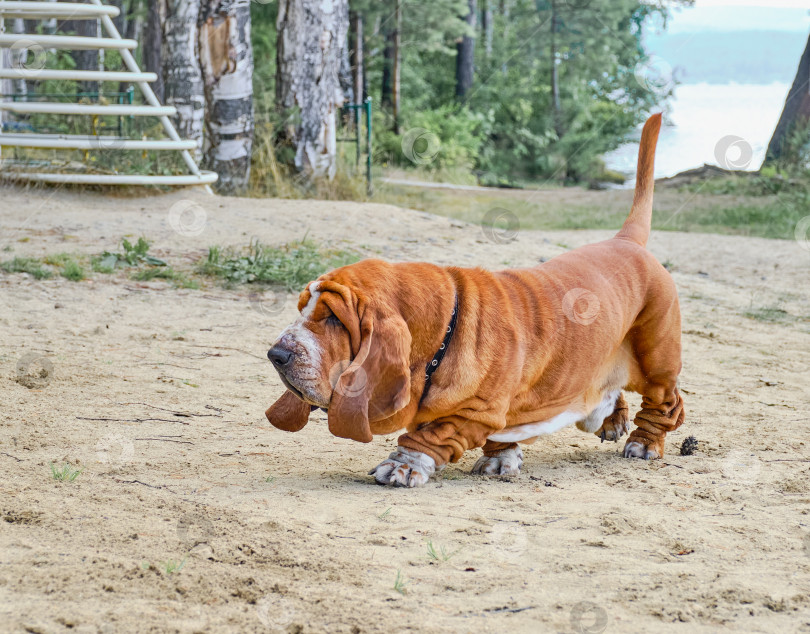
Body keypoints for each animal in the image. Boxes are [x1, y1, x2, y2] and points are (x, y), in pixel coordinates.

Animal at [264, 113, 680, 486]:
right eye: (302, 309)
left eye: (334, 318)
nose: (276, 354)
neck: (443, 330)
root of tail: (626, 240)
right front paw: (501, 460)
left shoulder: (476, 411)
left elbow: (429, 435)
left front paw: (402, 466)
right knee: (605, 398)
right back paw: (613, 420)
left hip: (657, 360)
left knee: (666, 404)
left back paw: (644, 443)